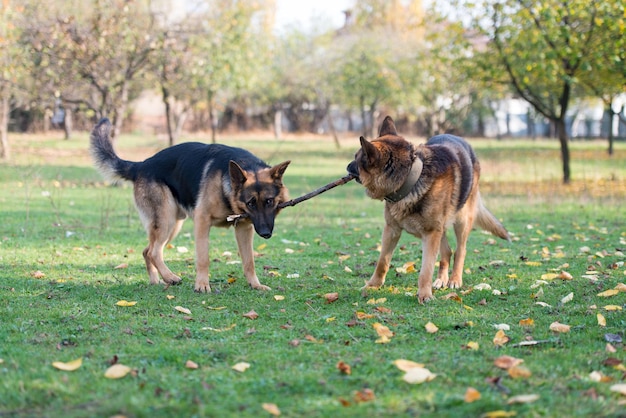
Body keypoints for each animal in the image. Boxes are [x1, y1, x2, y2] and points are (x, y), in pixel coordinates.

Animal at [89, 119, 288, 292]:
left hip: (173, 225)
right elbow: (203, 258)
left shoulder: (244, 228)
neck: (227, 187)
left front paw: (255, 285)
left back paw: (156, 280)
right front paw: (202, 285)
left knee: (147, 251)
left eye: (269, 201)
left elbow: (249, 261)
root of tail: (142, 165)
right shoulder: (202, 221)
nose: (265, 233)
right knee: (153, 252)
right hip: (166, 221)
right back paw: (170, 277)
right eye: (250, 203)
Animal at [344, 116, 510, 302]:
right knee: (447, 252)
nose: (347, 166)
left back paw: (454, 280)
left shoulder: (430, 234)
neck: (412, 180)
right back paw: (441, 280)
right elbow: (382, 262)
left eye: (357, 158)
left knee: (460, 251)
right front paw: (373, 285)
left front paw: (424, 295)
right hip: (440, 228)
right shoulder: (392, 230)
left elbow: (426, 269)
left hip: (461, 221)